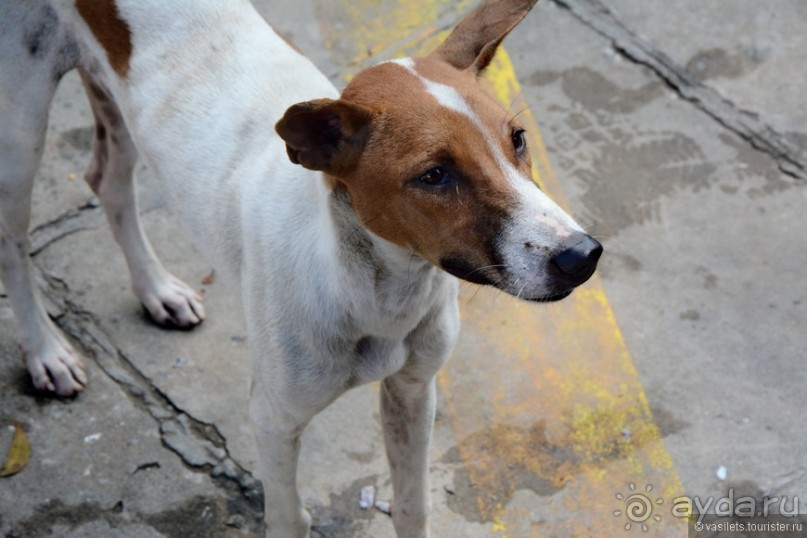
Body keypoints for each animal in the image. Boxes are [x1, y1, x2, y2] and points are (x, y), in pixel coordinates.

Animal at [0, 0, 600, 532]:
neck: (373, 291)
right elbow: (288, 518)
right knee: (14, 243)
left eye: (517, 139)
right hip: (20, 133)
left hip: (116, 103)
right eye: (434, 175)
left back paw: (155, 289)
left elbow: (412, 508)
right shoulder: (272, 421)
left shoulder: (413, 391)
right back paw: (47, 351)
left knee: (107, 180)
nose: (582, 256)